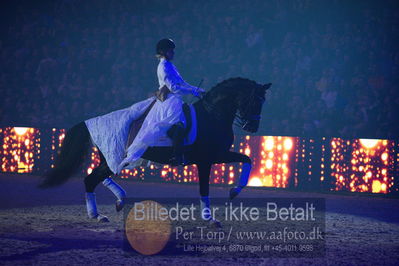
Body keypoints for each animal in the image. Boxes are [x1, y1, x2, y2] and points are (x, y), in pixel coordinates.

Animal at [40, 77, 270, 222]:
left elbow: (247, 159)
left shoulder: (217, 156)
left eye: (262, 102)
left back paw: (114, 203)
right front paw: (211, 218)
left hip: (111, 157)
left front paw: (234, 191)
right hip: (114, 155)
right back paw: (99, 213)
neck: (212, 115)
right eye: (255, 101)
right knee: (92, 179)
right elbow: (205, 188)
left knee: (98, 177)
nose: (252, 127)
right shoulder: (207, 160)